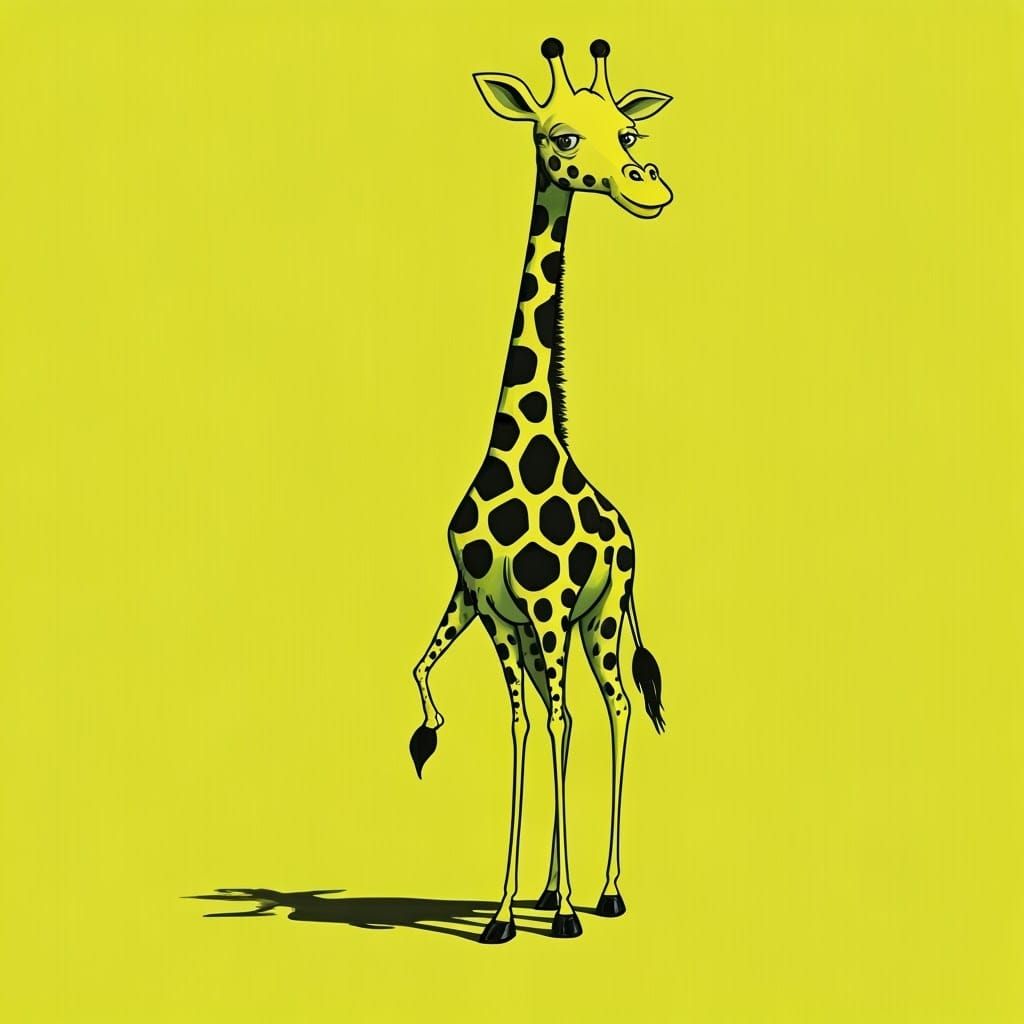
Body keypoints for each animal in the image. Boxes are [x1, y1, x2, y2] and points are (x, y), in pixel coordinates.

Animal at [410, 38, 672, 944]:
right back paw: (555, 889)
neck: (514, 451)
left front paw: (554, 915)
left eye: (627, 131)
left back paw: (604, 893)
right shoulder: (491, 609)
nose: (648, 185)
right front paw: (502, 910)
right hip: (551, 630)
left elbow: (554, 723)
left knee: (615, 707)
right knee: (585, 711)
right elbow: (518, 724)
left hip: (599, 617)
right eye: (560, 136)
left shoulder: (548, 606)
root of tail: (629, 532)